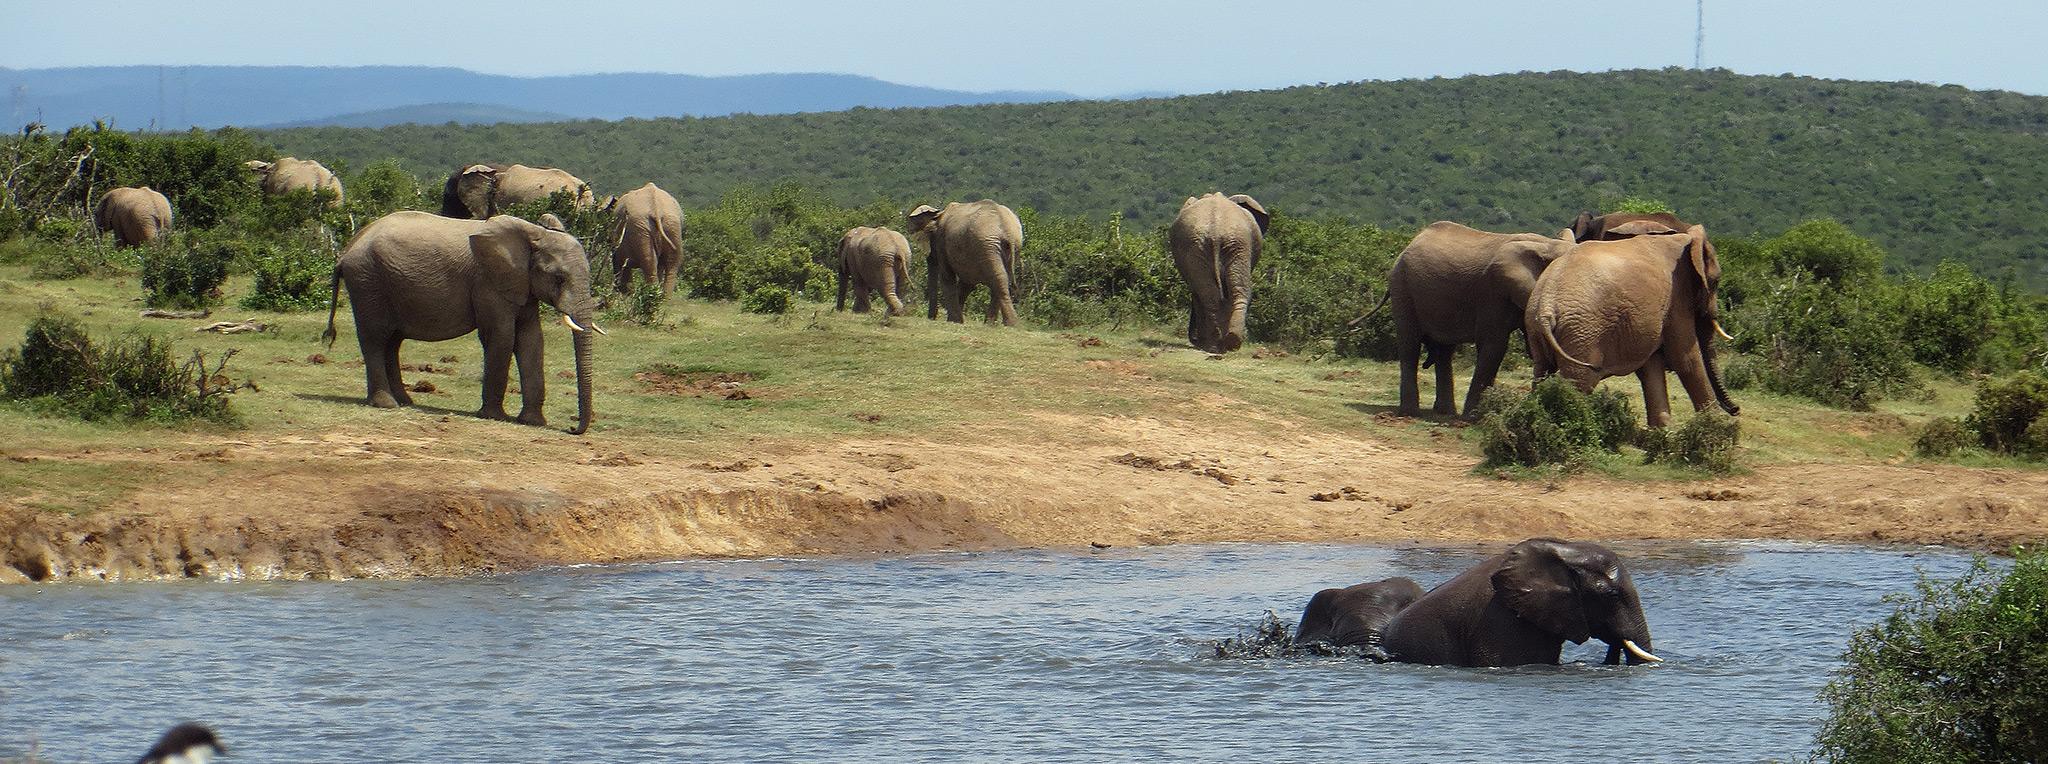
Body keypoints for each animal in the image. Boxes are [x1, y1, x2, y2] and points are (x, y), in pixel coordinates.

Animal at [323, 211, 601, 434]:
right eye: (559, 278)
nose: (572, 429)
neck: (533, 234)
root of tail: (346, 251)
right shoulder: (487, 283)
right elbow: (501, 336)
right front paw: (494, 417)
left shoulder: (522, 286)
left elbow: (531, 341)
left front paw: (533, 422)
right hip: (367, 283)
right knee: (375, 338)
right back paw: (387, 404)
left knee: (392, 342)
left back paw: (405, 401)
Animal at [1169, 193, 1270, 353]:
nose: (1193, 339)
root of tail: (1216, 232)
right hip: (1207, 248)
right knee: (1220, 293)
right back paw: (1222, 344)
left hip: (1233, 245)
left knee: (1223, 292)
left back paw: (1222, 344)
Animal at [1385, 222, 1576, 416]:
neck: (1548, 244)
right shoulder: (1493, 291)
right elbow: (1494, 344)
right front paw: (1474, 417)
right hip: (1402, 288)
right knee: (1410, 344)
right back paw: (1411, 413)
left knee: (1444, 351)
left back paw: (1446, 412)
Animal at [1526, 225, 1740, 428]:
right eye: (1716, 282)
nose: (1736, 410)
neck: (1686, 240)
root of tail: (1546, 305)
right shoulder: (1677, 298)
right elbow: (1685, 358)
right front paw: (1716, 425)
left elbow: (1652, 364)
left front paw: (1662, 430)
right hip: (1582, 333)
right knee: (1579, 382)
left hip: (1539, 328)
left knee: (1541, 372)